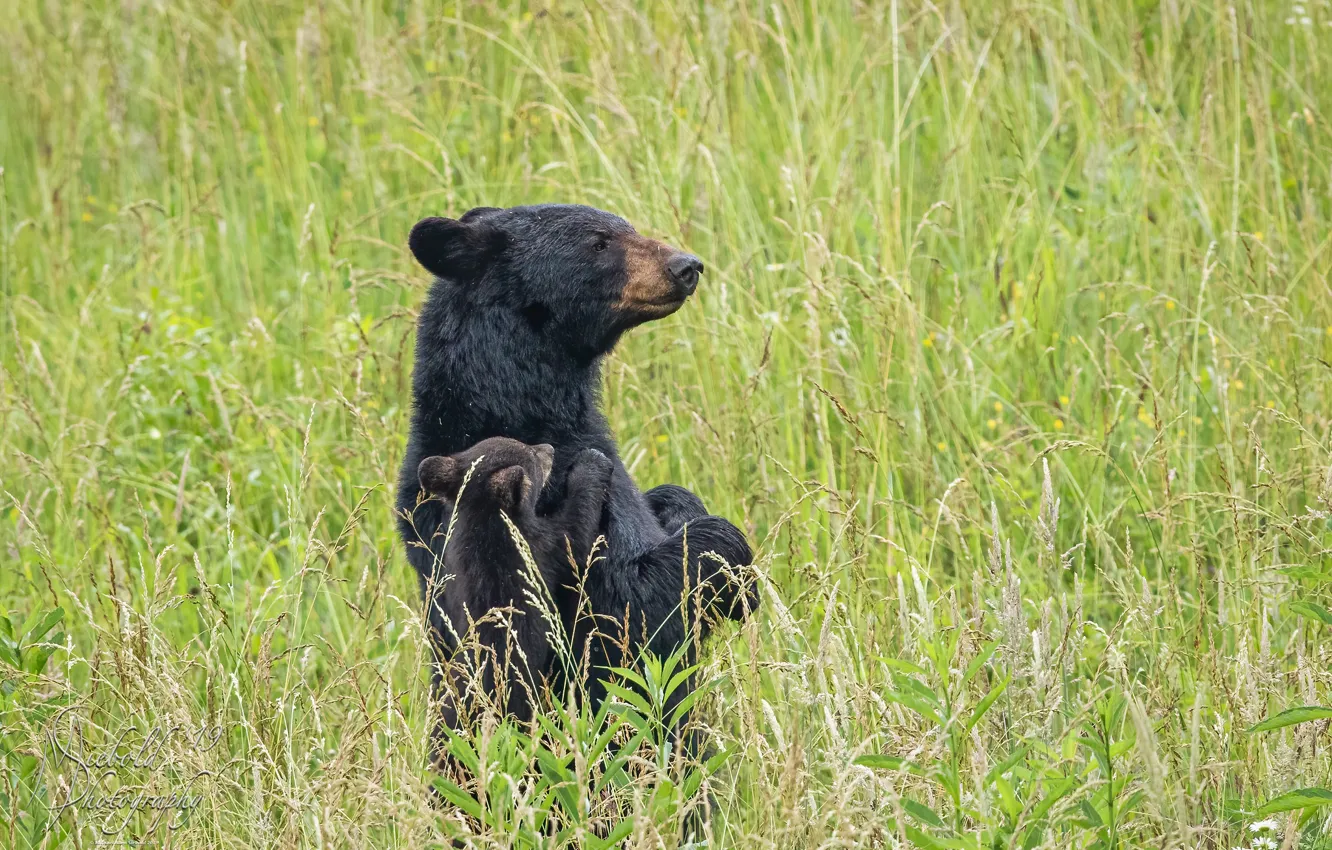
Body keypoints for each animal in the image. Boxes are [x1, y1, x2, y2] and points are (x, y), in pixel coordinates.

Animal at [415, 437, 614, 733]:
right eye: (532, 455)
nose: (549, 449)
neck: (484, 519)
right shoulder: (538, 548)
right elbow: (574, 532)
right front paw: (592, 462)